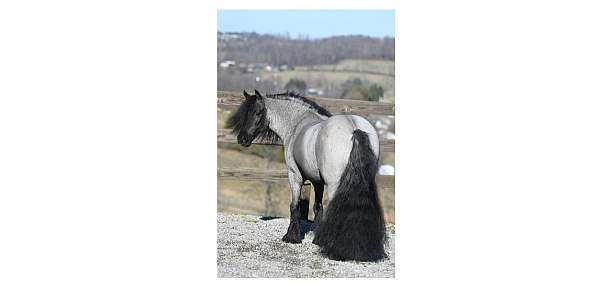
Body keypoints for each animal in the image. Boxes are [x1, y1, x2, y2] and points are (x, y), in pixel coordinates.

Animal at [227, 89, 386, 262]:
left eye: (258, 112)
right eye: (245, 113)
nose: (242, 139)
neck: (297, 123)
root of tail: (354, 128)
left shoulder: (295, 176)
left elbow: (294, 206)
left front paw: (291, 237)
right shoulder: (318, 182)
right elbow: (317, 207)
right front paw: (317, 239)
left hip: (334, 185)